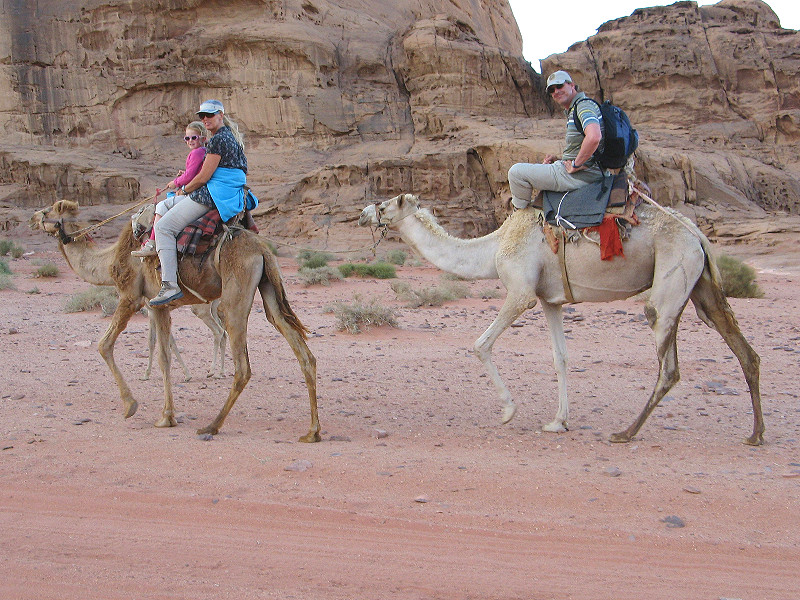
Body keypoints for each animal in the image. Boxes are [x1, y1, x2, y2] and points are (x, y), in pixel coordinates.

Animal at [32, 200, 318, 440]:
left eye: (46, 211)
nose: (32, 218)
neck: (111, 260)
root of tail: (261, 248)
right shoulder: (159, 306)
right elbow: (164, 357)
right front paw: (167, 416)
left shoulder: (130, 297)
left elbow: (105, 345)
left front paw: (131, 405)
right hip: (268, 286)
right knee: (302, 352)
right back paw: (312, 432)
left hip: (235, 295)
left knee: (242, 365)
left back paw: (212, 425)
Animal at [360, 193, 764, 446]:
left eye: (383, 204)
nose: (363, 214)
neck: (494, 247)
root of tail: (698, 236)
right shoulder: (549, 300)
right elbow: (561, 359)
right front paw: (558, 421)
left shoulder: (521, 292)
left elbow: (480, 345)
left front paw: (508, 411)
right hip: (702, 287)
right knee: (746, 352)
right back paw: (755, 434)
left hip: (671, 279)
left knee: (668, 365)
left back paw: (625, 433)